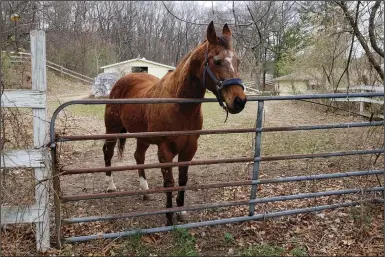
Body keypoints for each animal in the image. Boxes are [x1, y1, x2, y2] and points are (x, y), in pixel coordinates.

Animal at [102, 21, 246, 224]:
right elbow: (169, 182)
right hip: (112, 129)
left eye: (237, 62)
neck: (179, 106)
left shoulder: (189, 148)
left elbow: (182, 180)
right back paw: (110, 185)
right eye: (217, 61)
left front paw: (181, 211)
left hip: (142, 137)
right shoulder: (165, 150)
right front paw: (169, 217)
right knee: (108, 151)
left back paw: (145, 191)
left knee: (139, 156)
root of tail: (123, 79)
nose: (239, 101)